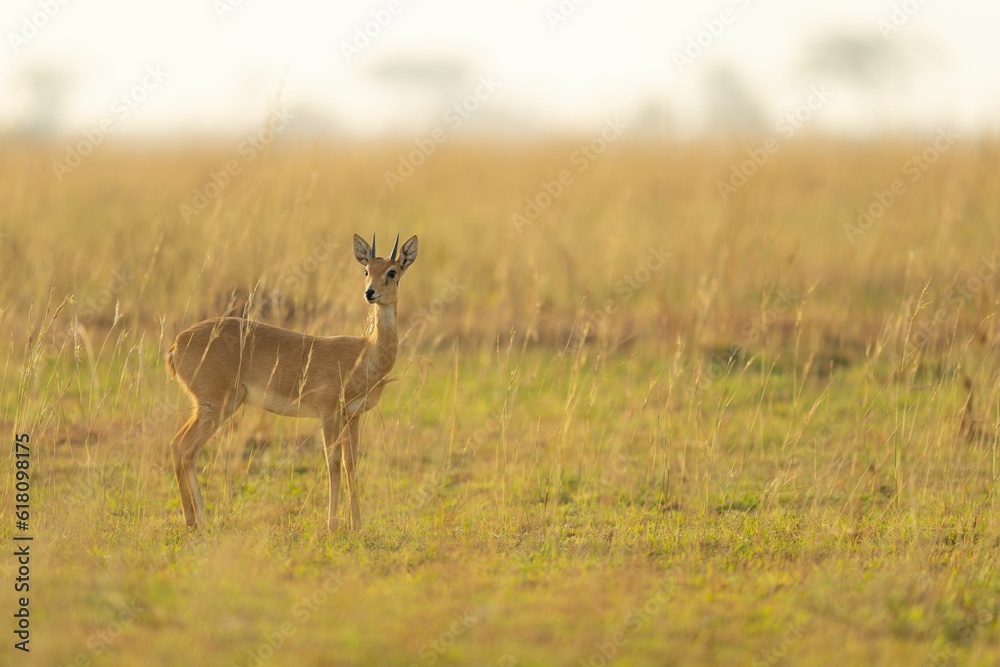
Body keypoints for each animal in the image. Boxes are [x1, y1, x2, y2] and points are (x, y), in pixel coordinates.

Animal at [166, 233, 418, 531]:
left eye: (392, 271)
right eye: (366, 270)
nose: (370, 293)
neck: (364, 353)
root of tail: (177, 344)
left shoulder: (352, 416)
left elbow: (351, 464)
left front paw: (356, 525)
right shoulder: (328, 412)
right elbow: (332, 463)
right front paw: (332, 526)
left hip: (212, 407)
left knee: (179, 445)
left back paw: (194, 520)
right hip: (216, 406)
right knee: (184, 447)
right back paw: (198, 519)